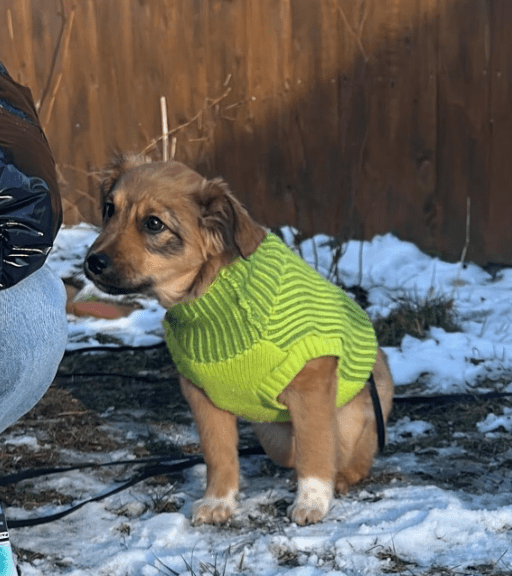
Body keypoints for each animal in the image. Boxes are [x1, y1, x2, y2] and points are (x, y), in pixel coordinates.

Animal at [86, 155, 394, 524]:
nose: (92, 262)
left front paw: (312, 502)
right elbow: (218, 454)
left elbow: (315, 450)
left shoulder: (312, 383)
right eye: (108, 209)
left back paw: (344, 477)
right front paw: (219, 501)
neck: (209, 294)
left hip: (349, 419)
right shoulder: (201, 395)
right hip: (271, 431)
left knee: (354, 452)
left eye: (153, 224)